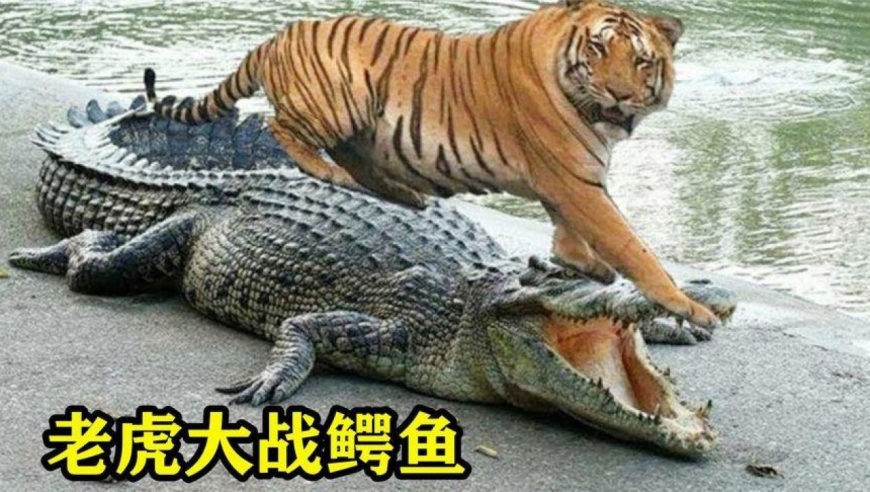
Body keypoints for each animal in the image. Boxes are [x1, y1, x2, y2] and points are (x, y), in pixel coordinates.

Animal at [142, 0, 721, 328]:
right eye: (598, 50)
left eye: (641, 60)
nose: (620, 94)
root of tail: (275, 37)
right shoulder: (574, 179)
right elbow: (632, 246)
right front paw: (688, 307)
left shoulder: (569, 183)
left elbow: (575, 236)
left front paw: (580, 264)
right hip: (338, 101)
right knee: (277, 127)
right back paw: (328, 172)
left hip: (364, 121)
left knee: (356, 158)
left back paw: (407, 194)